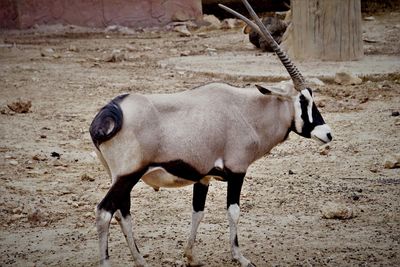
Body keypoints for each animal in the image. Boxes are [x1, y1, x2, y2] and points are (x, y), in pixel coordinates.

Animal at [89, 1, 332, 266]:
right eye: (304, 100)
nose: (327, 134)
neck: (246, 111)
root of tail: (111, 111)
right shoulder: (237, 171)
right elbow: (234, 211)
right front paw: (240, 257)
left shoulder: (203, 177)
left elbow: (198, 212)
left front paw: (191, 256)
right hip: (127, 175)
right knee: (105, 212)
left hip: (122, 178)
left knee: (123, 213)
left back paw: (141, 260)